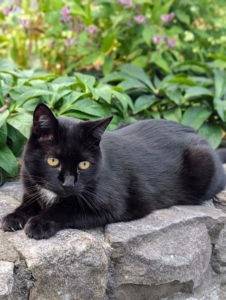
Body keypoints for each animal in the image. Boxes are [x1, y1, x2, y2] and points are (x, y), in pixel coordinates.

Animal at [1, 103, 226, 239]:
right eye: (53, 160)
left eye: (84, 164)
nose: (69, 183)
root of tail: (198, 134)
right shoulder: (31, 187)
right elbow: (28, 204)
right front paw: (14, 217)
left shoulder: (113, 206)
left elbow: (67, 209)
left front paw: (39, 223)